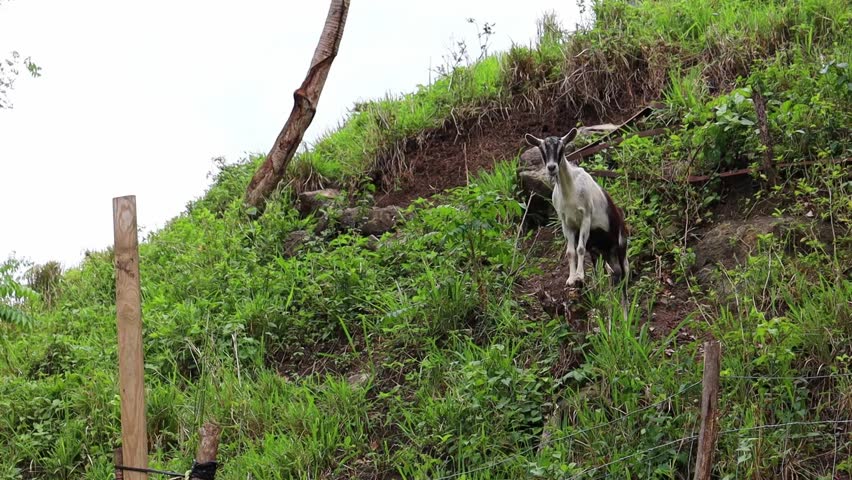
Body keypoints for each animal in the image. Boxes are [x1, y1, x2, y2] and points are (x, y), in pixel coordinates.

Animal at [525, 129, 629, 287]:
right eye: (541, 149)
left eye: (561, 148)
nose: (551, 167)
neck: (570, 191)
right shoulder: (566, 222)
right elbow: (570, 251)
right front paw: (571, 278)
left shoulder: (586, 217)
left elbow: (580, 248)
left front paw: (580, 276)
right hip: (603, 248)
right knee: (613, 271)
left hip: (621, 243)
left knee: (624, 271)